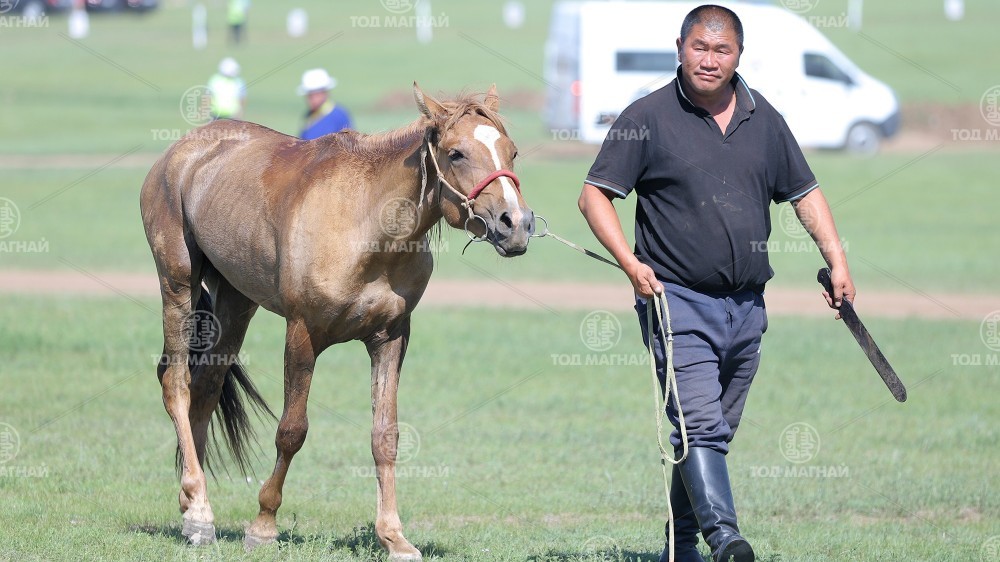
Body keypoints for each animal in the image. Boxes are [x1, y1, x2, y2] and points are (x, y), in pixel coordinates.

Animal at [139, 81, 540, 556]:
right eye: (456, 153)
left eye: (512, 152)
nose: (516, 224)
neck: (369, 228)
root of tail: (182, 151)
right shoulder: (302, 334)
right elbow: (291, 431)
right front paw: (264, 525)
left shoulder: (391, 338)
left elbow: (385, 437)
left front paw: (394, 536)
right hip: (178, 285)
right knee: (176, 385)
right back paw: (200, 508)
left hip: (235, 303)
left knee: (204, 390)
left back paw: (193, 509)